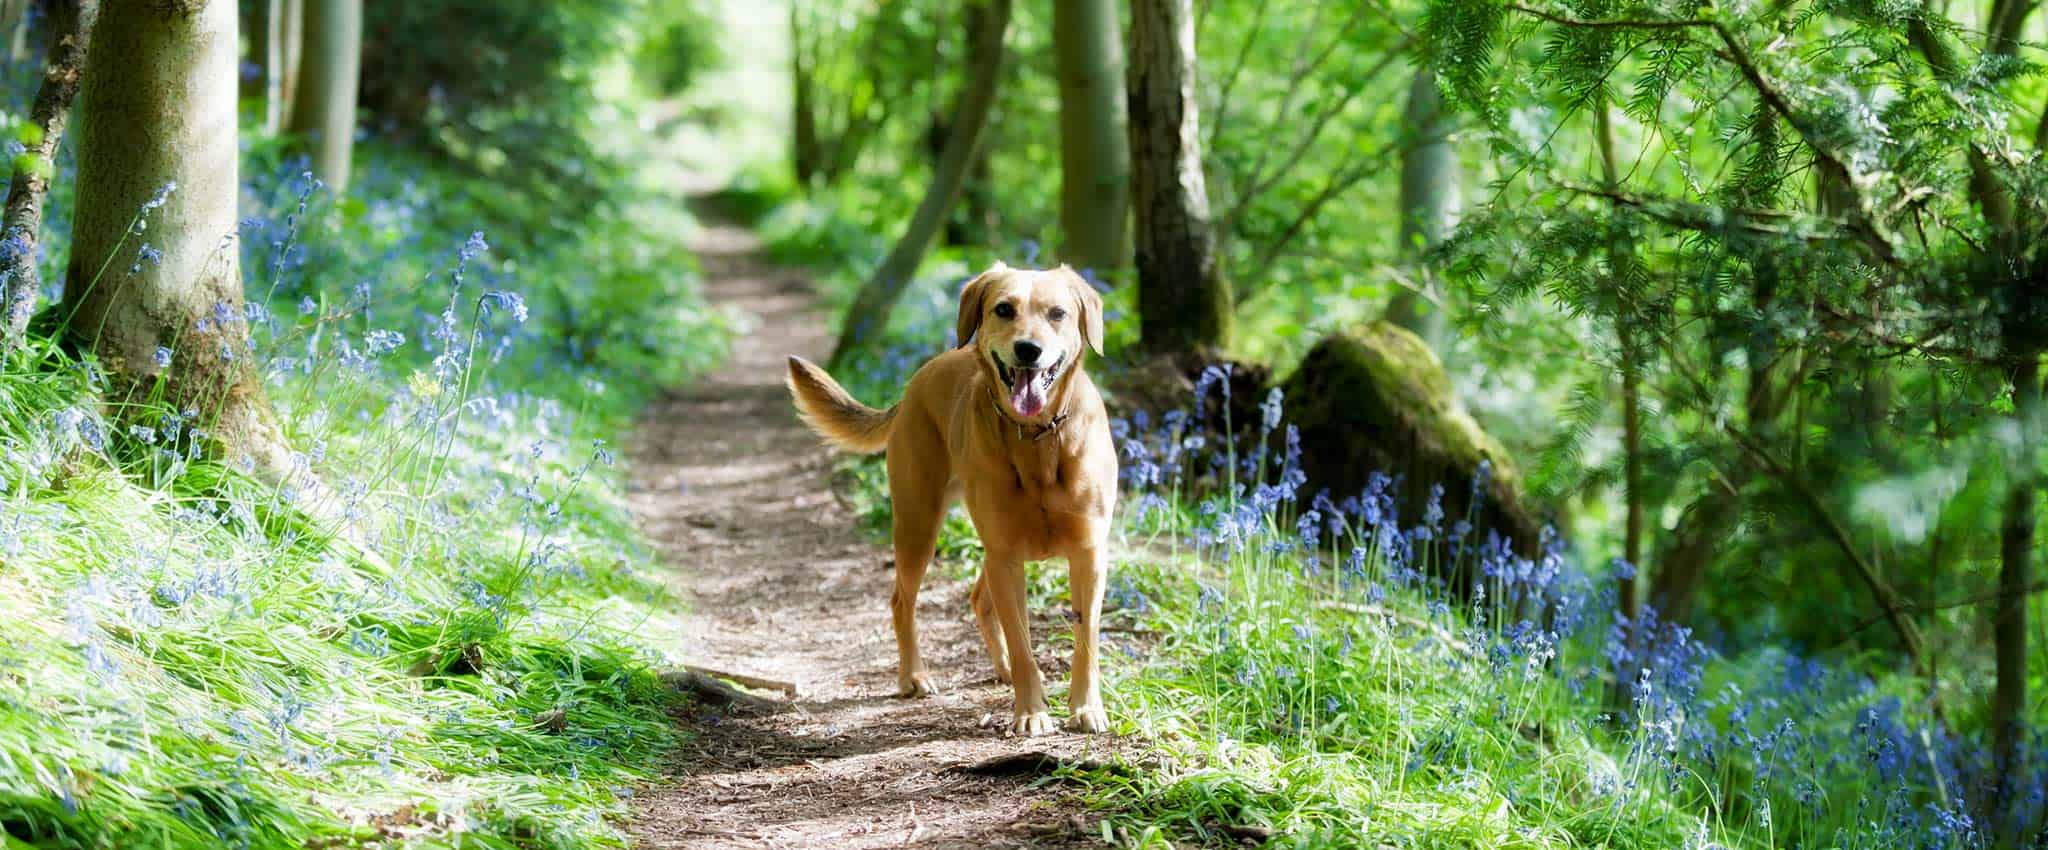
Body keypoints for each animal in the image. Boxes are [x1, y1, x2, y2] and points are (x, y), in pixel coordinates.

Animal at [786, 262, 1122, 737]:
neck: (1037, 438)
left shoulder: (1088, 554)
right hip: (918, 524)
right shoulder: (1005, 555)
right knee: (902, 601)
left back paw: (1000, 668)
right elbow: (1023, 643)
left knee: (980, 598)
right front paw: (1031, 712)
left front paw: (1087, 708)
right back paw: (914, 676)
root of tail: (915, 382)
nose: (1028, 350)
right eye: (1004, 309)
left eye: (1057, 313)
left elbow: (1086, 640)